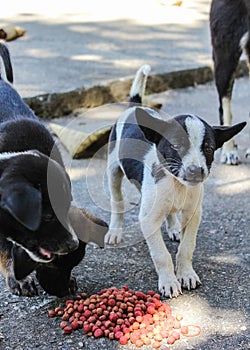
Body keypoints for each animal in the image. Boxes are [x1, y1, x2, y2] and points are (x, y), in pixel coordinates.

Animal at [104, 64, 247, 296]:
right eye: (176, 146)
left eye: (208, 149)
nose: (196, 171)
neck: (177, 185)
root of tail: (135, 106)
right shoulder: (148, 219)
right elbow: (161, 255)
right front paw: (169, 281)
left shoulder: (193, 214)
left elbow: (186, 248)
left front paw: (186, 273)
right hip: (113, 170)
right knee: (117, 201)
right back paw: (114, 231)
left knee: (170, 213)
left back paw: (173, 227)